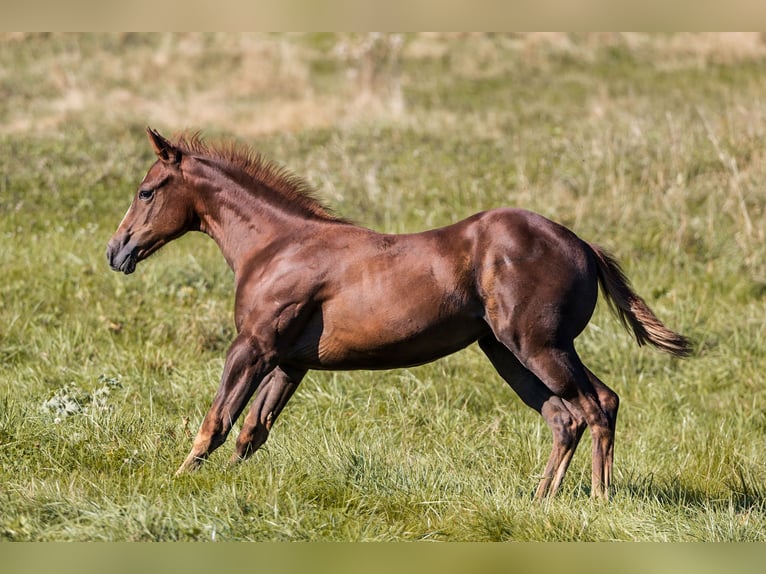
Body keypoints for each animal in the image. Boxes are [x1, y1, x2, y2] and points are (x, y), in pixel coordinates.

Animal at [105, 127, 692, 500]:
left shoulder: (252, 346)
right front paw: (224, 484)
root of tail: (582, 245)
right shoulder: (290, 362)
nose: (117, 251)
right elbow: (253, 430)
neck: (276, 246)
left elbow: (217, 420)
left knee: (597, 405)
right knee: (564, 416)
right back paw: (542, 500)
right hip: (508, 353)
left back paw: (598, 501)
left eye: (146, 191)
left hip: (540, 346)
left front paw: (180, 481)